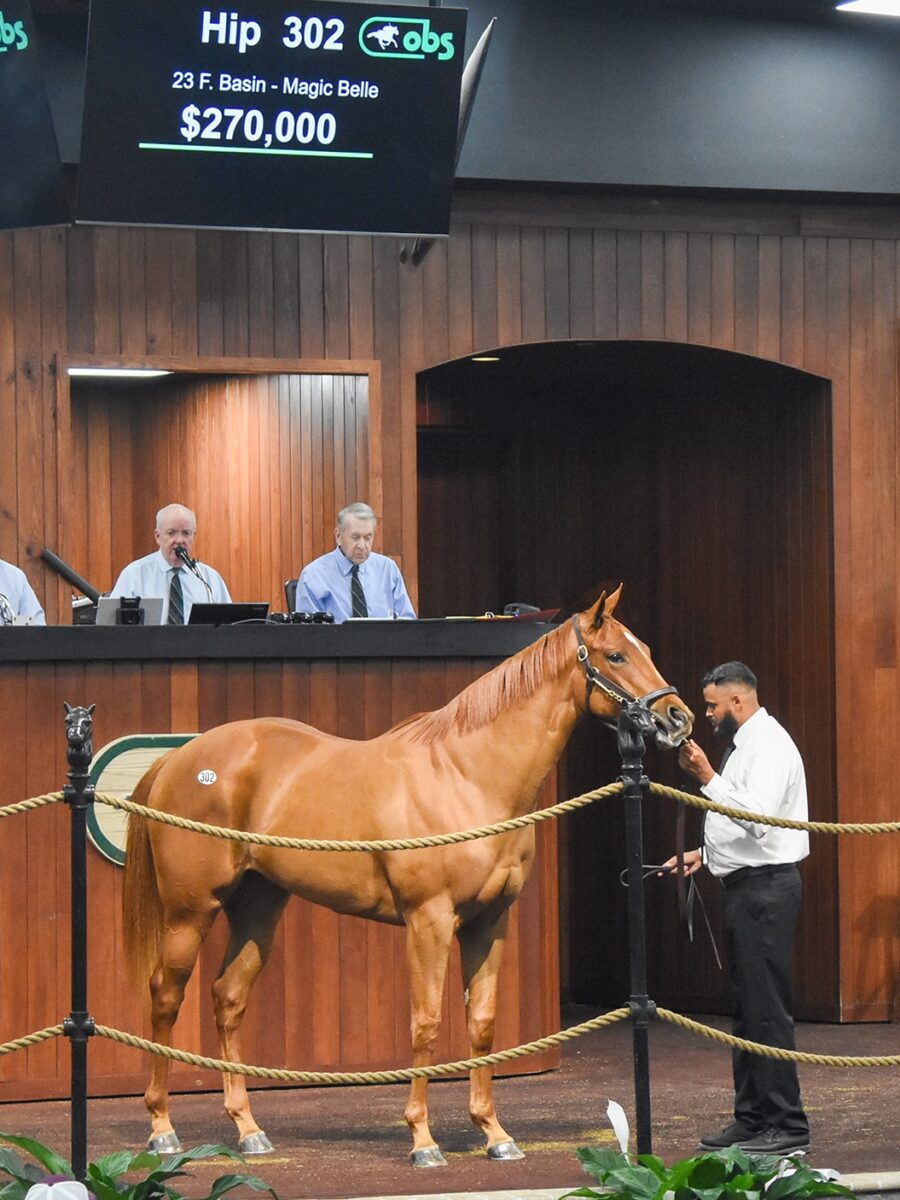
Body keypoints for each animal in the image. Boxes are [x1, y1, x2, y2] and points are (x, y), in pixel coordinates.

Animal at [123, 585, 696, 1166]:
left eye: (645, 649)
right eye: (616, 656)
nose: (678, 718)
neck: (469, 777)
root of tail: (179, 759)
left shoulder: (490, 922)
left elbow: (481, 1022)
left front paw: (495, 1133)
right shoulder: (429, 922)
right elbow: (426, 1023)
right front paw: (423, 1140)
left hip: (258, 906)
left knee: (228, 998)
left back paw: (247, 1128)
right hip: (190, 912)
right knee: (165, 997)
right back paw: (162, 1128)